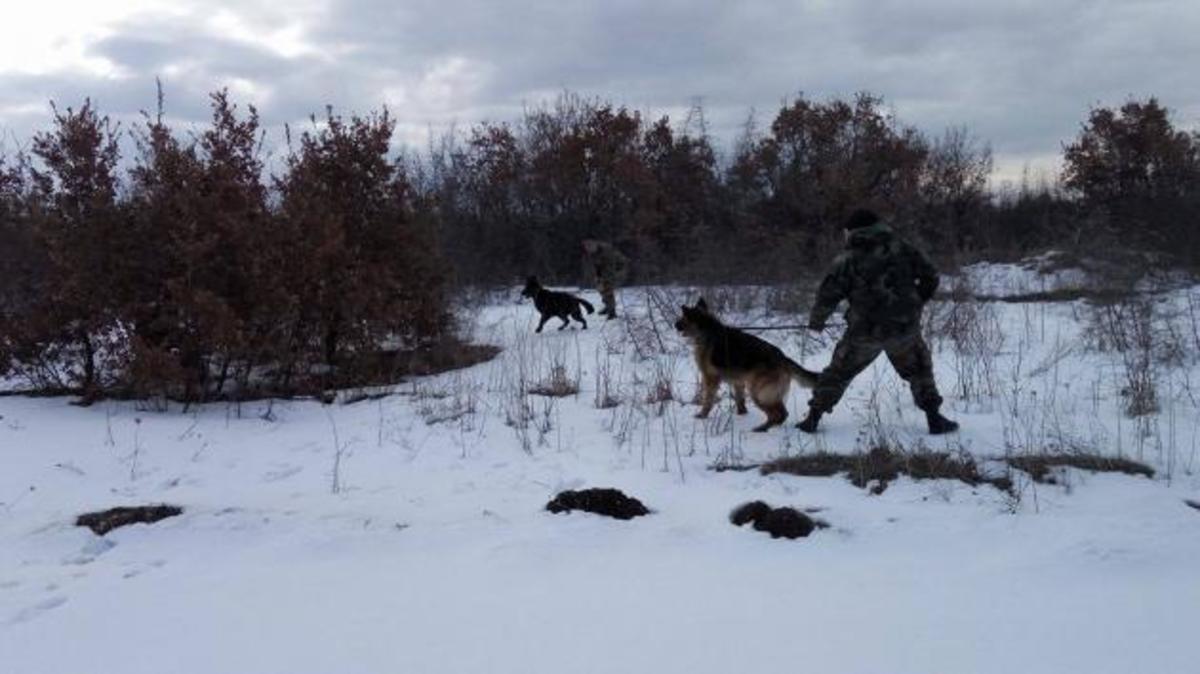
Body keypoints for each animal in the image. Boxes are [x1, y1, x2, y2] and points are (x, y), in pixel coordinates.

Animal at [676, 297, 816, 429]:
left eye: (682, 318)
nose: (674, 324)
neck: (707, 331)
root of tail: (783, 358)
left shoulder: (710, 379)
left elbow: (708, 400)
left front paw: (702, 415)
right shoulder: (738, 382)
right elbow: (740, 400)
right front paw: (742, 415)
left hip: (758, 392)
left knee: (778, 414)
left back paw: (762, 429)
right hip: (766, 394)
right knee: (783, 414)